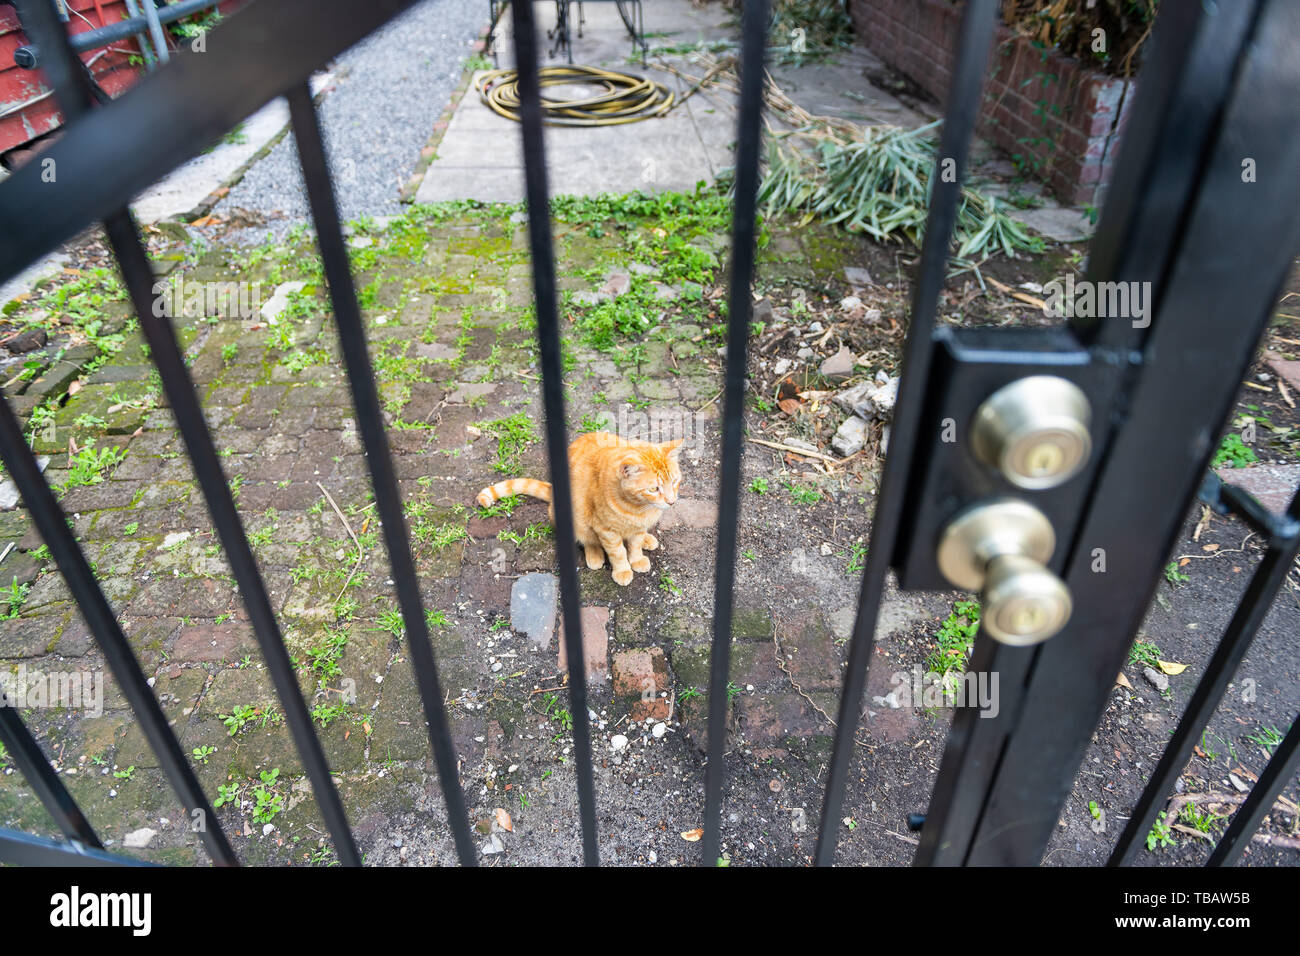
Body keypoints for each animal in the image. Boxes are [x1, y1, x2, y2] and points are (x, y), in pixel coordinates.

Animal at [475, 431, 681, 582]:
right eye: (654, 489)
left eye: (675, 481)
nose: (671, 501)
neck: (640, 509)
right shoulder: (605, 529)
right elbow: (618, 552)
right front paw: (622, 570)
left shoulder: (637, 528)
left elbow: (635, 544)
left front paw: (637, 557)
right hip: (576, 520)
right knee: (588, 539)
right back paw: (595, 555)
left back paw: (648, 539)